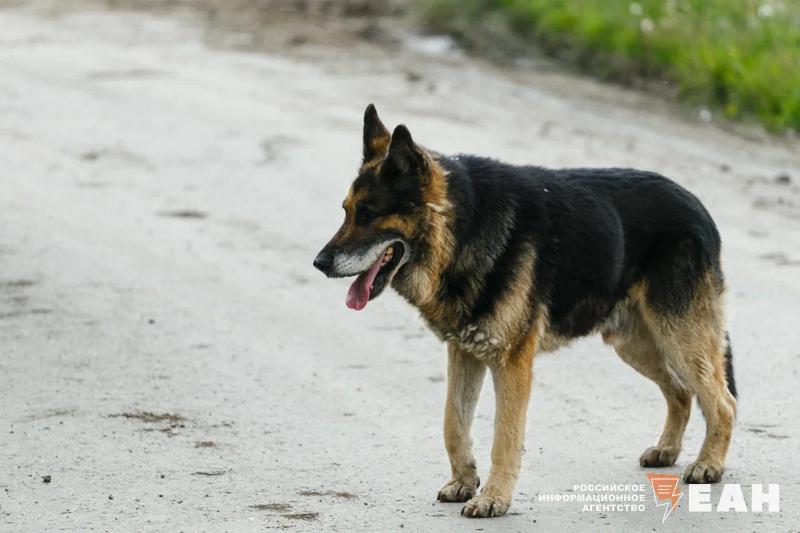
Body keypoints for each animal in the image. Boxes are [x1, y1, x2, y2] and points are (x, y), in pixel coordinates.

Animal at [312, 103, 736, 516]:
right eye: (346, 211)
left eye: (368, 214)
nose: (319, 263)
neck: (465, 228)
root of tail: (699, 207)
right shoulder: (464, 353)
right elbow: (453, 422)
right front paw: (464, 482)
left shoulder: (511, 363)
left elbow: (504, 436)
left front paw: (493, 499)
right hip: (636, 344)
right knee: (682, 393)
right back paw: (668, 451)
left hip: (679, 340)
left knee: (722, 402)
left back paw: (708, 465)